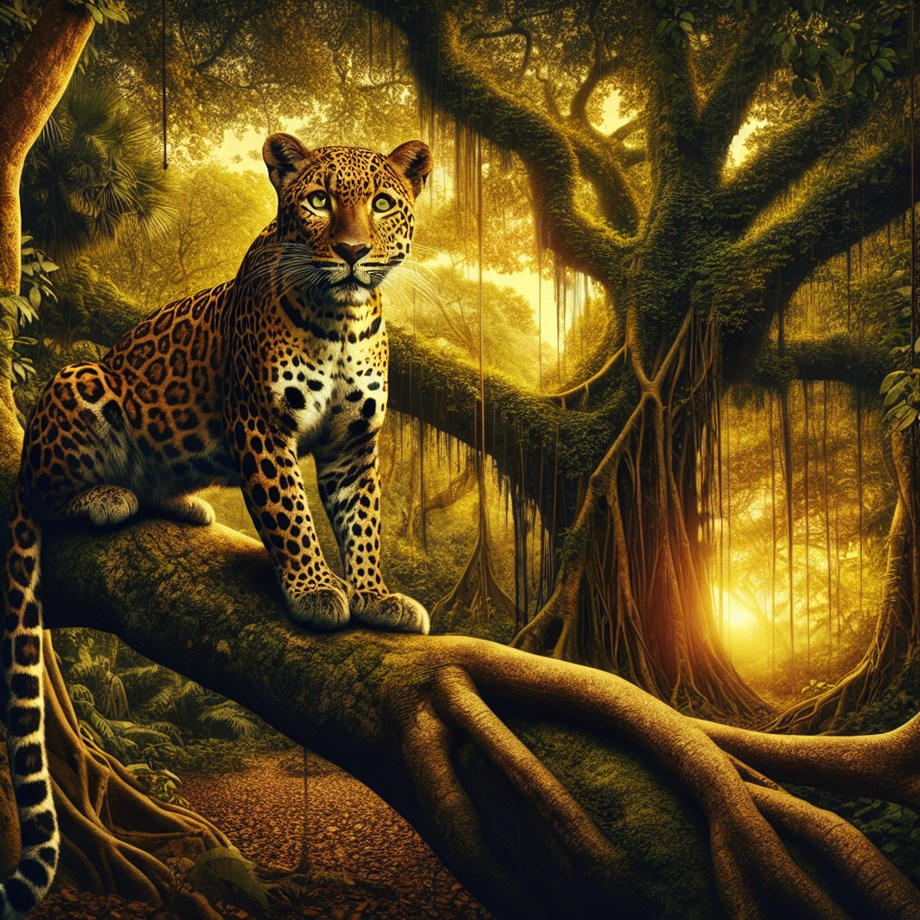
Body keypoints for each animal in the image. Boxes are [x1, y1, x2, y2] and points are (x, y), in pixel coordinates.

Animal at [0, 132, 432, 918]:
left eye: (383, 202)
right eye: (317, 200)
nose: (354, 250)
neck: (343, 323)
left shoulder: (355, 443)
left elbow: (363, 523)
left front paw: (375, 595)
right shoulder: (261, 424)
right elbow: (290, 515)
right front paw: (316, 592)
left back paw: (179, 503)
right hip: (82, 384)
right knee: (44, 492)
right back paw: (106, 497)